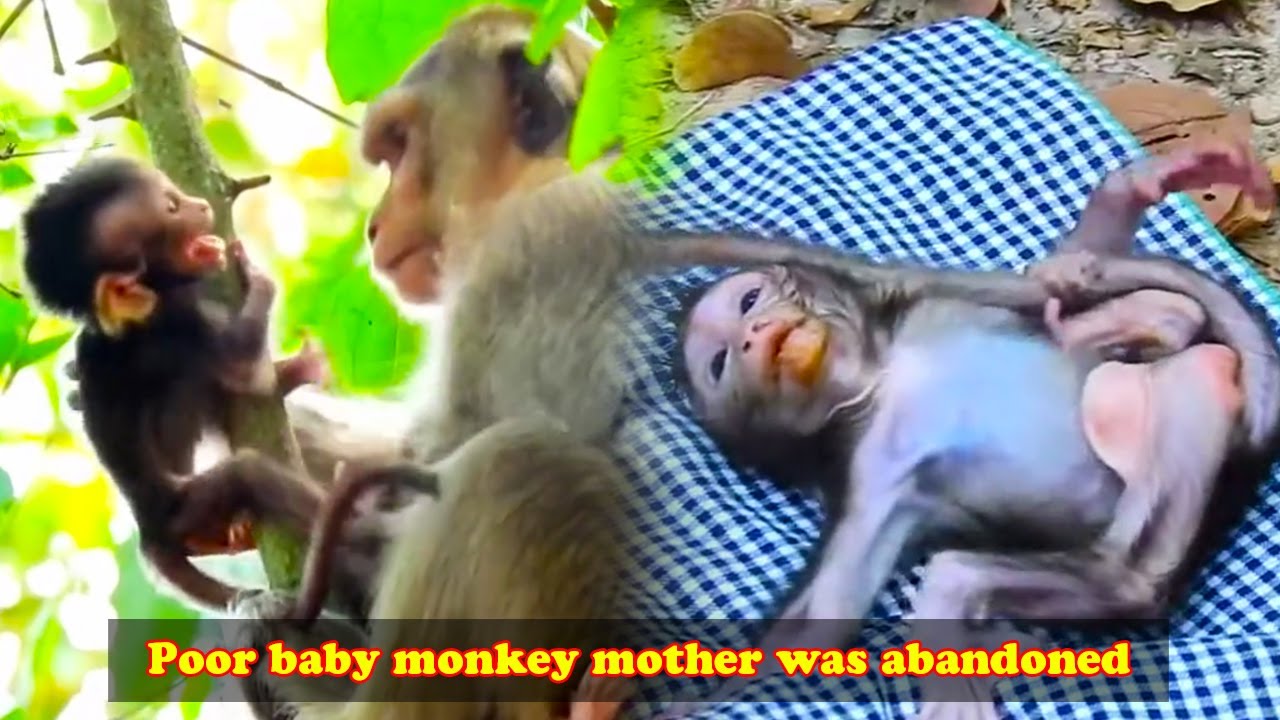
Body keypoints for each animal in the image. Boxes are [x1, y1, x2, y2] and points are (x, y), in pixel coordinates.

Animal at [19, 155, 336, 612]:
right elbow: (240, 366)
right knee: (245, 469)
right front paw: (258, 277)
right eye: (170, 207)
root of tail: (149, 534)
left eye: (176, 195)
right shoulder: (181, 319)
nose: (201, 206)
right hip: (192, 508)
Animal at [665, 143, 1280, 718]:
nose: (754, 335)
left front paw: (1138, 187)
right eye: (720, 362)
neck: (879, 378)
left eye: (749, 301)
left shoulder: (940, 303)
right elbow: (823, 624)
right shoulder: (871, 478)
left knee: (1168, 319)